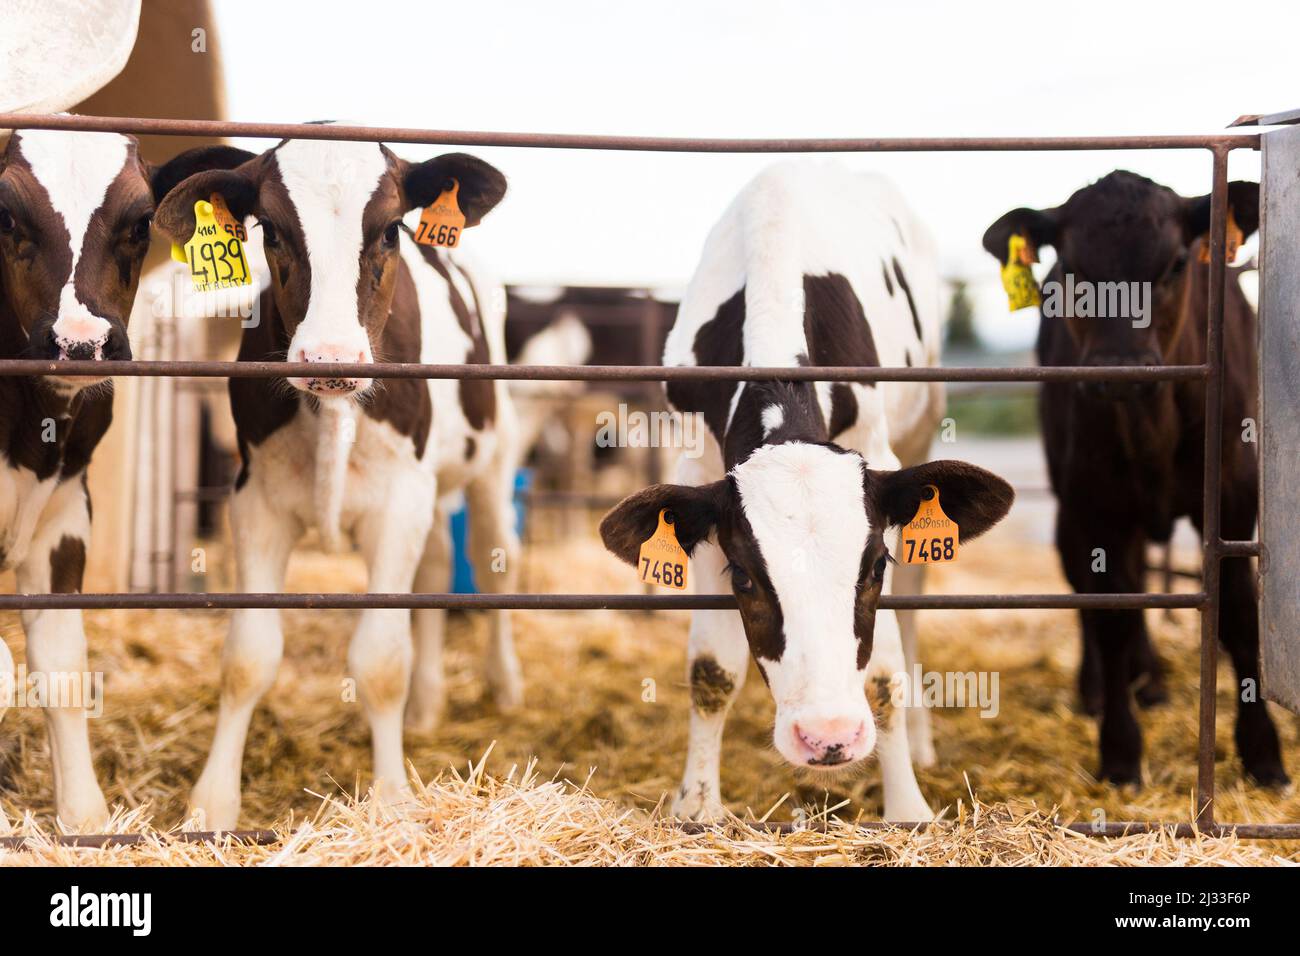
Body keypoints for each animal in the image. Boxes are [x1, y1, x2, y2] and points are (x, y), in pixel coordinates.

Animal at [0, 128, 243, 828]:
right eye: (5, 216)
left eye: (140, 223)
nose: (80, 343)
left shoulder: (63, 511)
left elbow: (60, 668)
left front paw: (84, 819)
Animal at [153, 136, 520, 829]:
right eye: (270, 230)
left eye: (389, 230)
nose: (330, 360)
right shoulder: (257, 501)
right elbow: (247, 658)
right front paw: (213, 804)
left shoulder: (399, 501)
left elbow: (379, 660)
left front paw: (392, 797)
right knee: (436, 566)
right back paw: (427, 707)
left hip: (490, 459)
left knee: (497, 563)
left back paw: (505, 683)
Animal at [599, 161, 1015, 822]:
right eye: (744, 578)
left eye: (875, 567)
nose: (829, 737)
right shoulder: (696, 473)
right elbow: (711, 670)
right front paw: (698, 807)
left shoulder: (882, 454)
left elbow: (884, 675)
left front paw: (907, 808)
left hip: (924, 426)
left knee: (914, 610)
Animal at [982, 170, 1287, 786]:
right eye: (1072, 268)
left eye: (1175, 264)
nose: (1119, 369)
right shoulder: (1094, 506)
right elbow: (1112, 616)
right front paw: (1120, 751)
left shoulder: (1234, 498)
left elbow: (1240, 614)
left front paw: (1263, 751)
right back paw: (1102, 688)